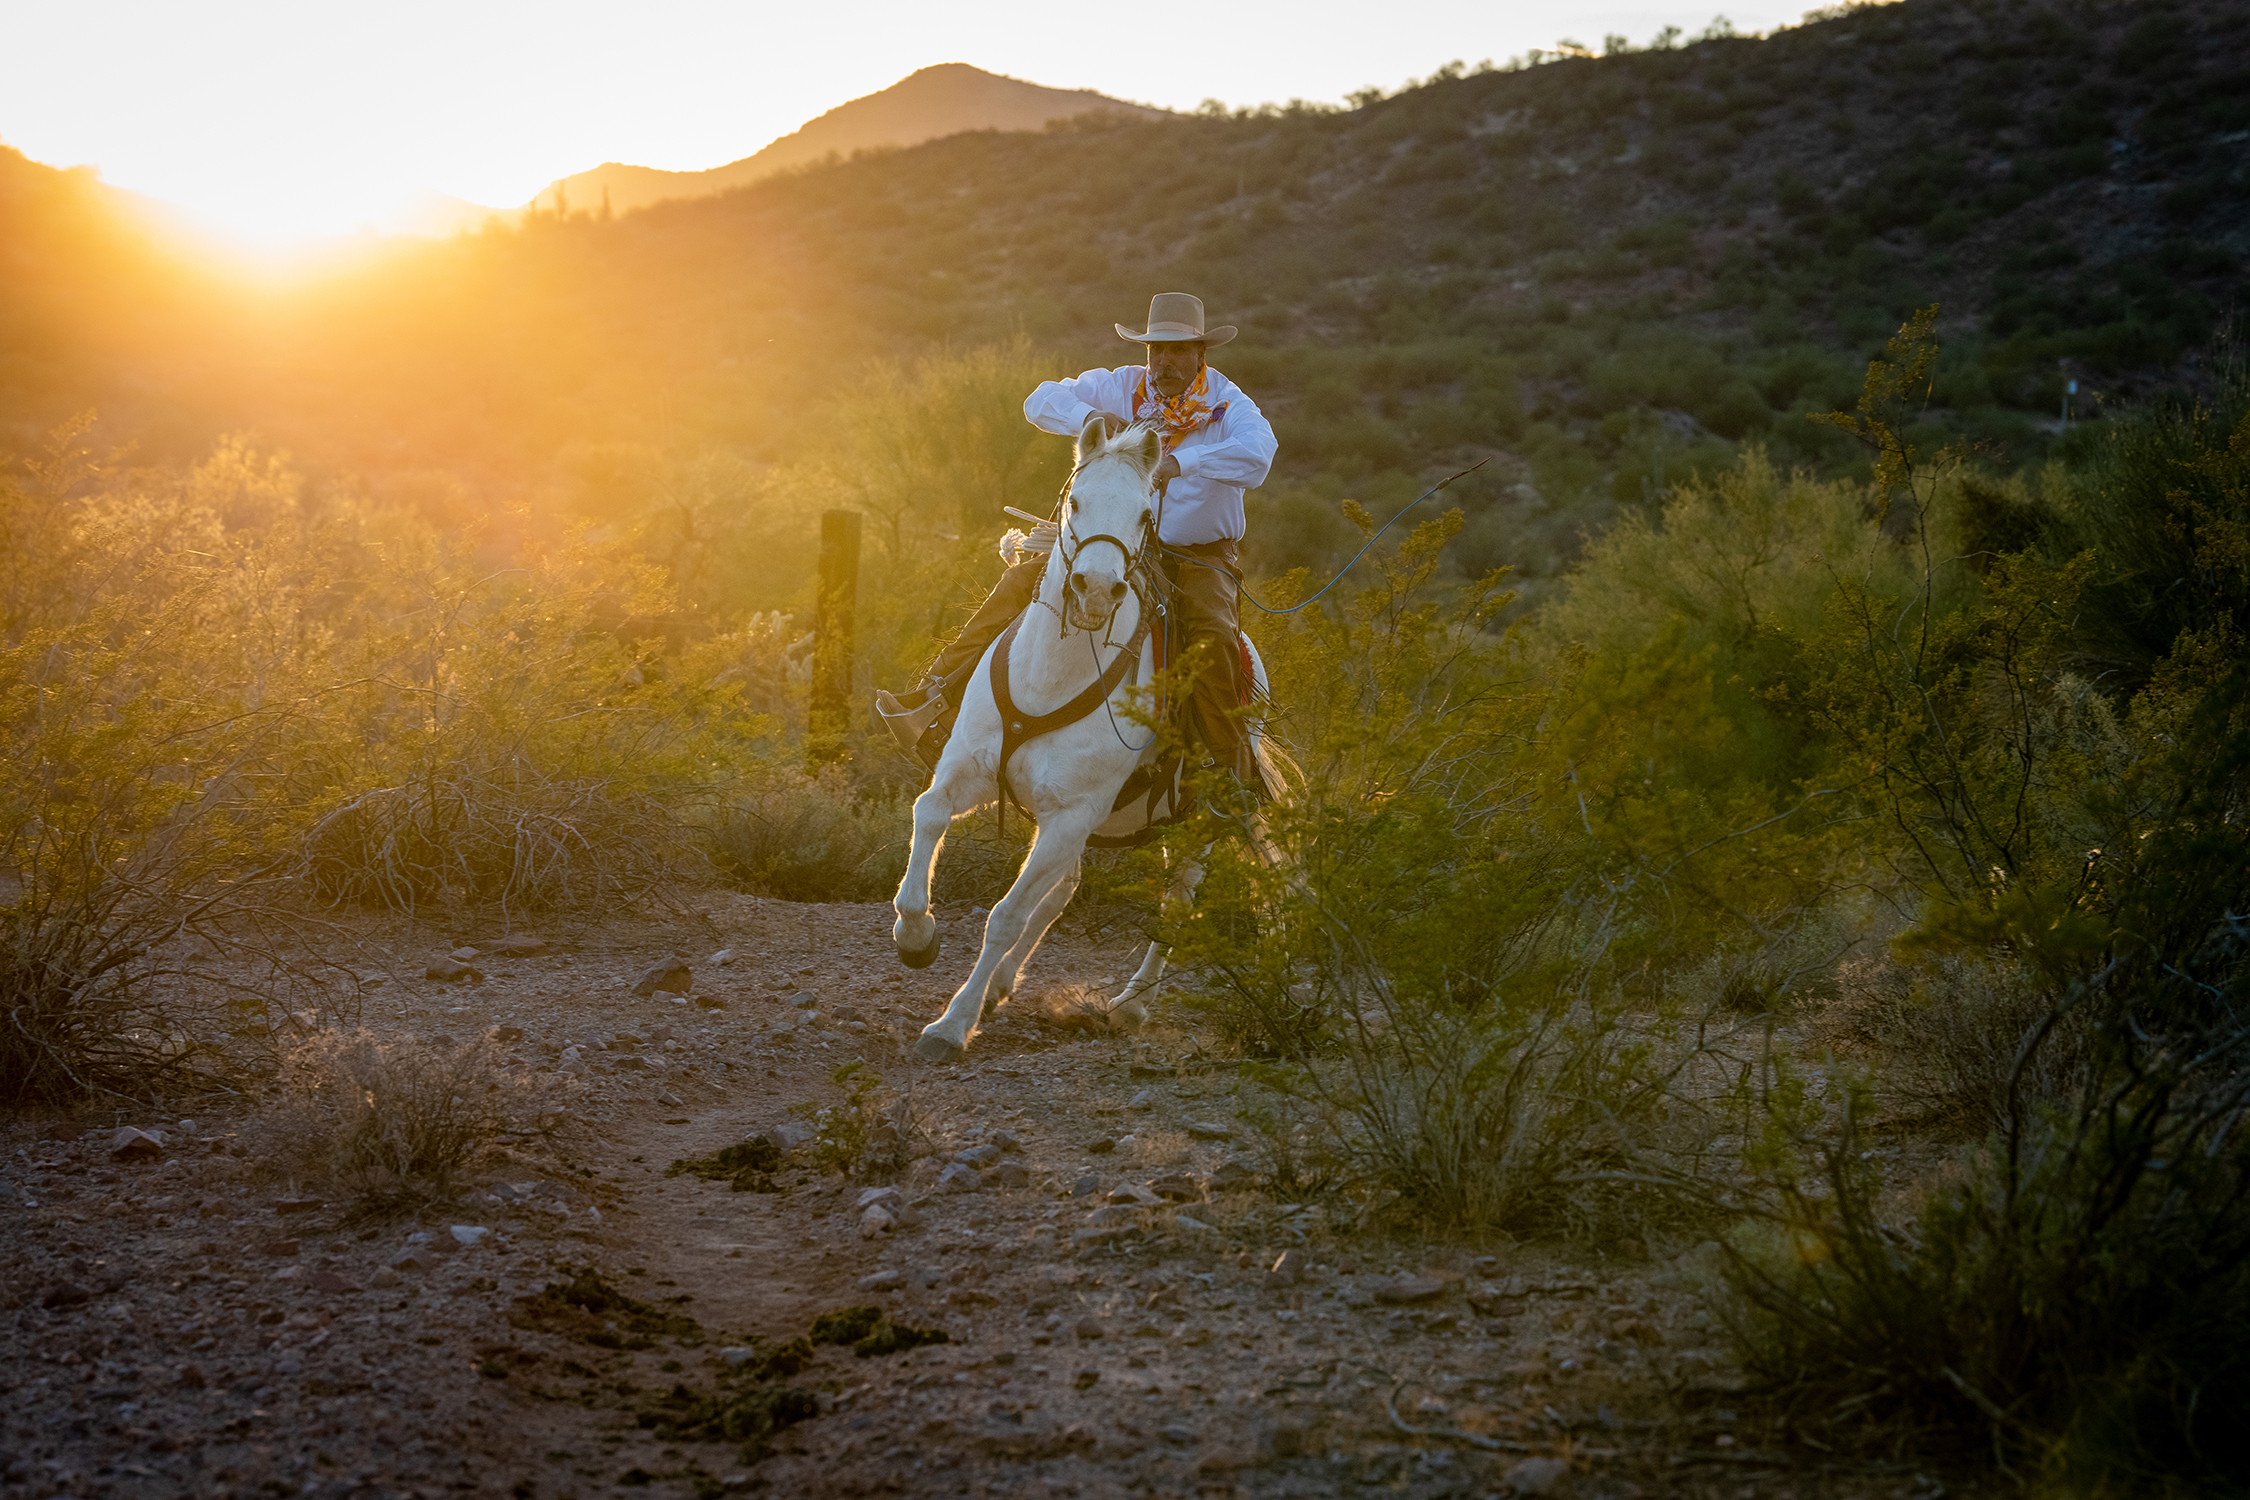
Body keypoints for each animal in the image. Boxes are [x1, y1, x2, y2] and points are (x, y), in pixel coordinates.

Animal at [900, 416, 1287, 1061]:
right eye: (1075, 501)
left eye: (1144, 513)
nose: (1097, 590)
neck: (1053, 678)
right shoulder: (970, 773)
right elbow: (927, 815)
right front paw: (916, 936)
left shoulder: (1071, 814)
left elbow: (1005, 916)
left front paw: (951, 1025)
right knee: (1062, 890)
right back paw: (1003, 984)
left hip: (1193, 820)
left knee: (1174, 902)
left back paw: (1128, 1007)